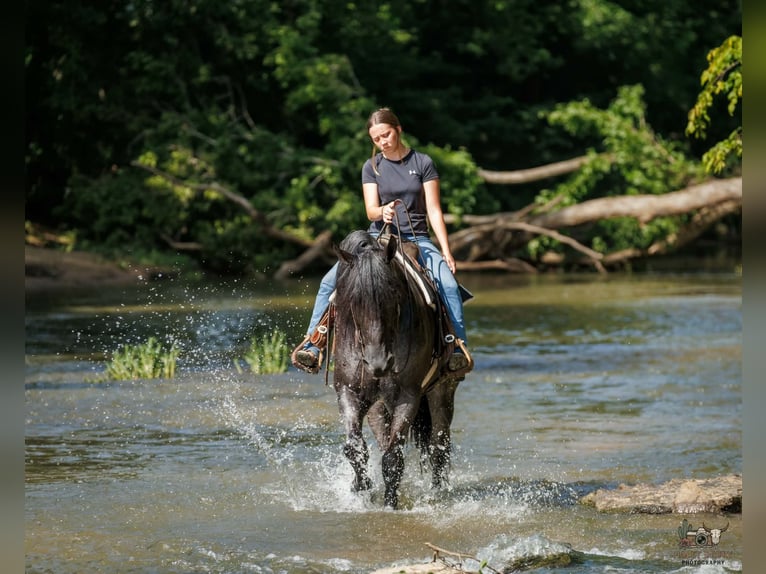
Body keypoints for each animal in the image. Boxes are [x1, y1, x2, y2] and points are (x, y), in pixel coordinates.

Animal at [331, 229, 461, 508]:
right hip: (378, 406)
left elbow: (393, 458)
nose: (378, 363)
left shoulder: (408, 395)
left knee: (439, 446)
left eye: (393, 293)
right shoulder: (348, 391)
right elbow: (355, 448)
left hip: (443, 391)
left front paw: (390, 505)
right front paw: (360, 489)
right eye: (353, 299)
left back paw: (437, 493)